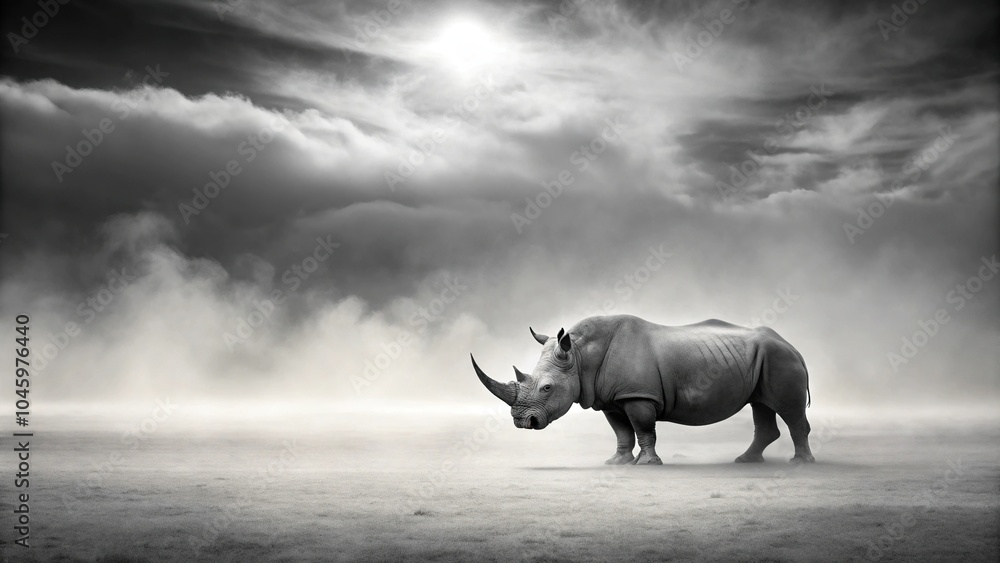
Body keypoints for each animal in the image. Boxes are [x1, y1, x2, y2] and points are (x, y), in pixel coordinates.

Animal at [471, 315, 814, 465]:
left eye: (546, 388)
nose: (522, 422)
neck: (580, 354)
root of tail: (794, 346)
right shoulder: (610, 398)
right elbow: (622, 431)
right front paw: (617, 463)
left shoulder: (637, 395)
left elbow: (644, 428)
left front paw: (648, 464)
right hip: (767, 359)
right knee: (761, 405)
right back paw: (745, 461)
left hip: (780, 359)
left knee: (788, 410)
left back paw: (800, 464)